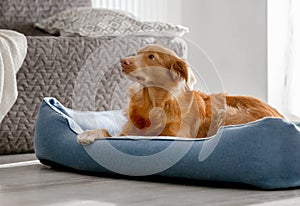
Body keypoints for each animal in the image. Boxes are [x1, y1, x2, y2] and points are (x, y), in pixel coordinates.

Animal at [76, 43, 282, 145]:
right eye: (137, 53)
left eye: (152, 57)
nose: (123, 61)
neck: (154, 102)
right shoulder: (126, 132)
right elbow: (106, 131)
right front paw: (87, 133)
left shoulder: (175, 136)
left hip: (224, 113)